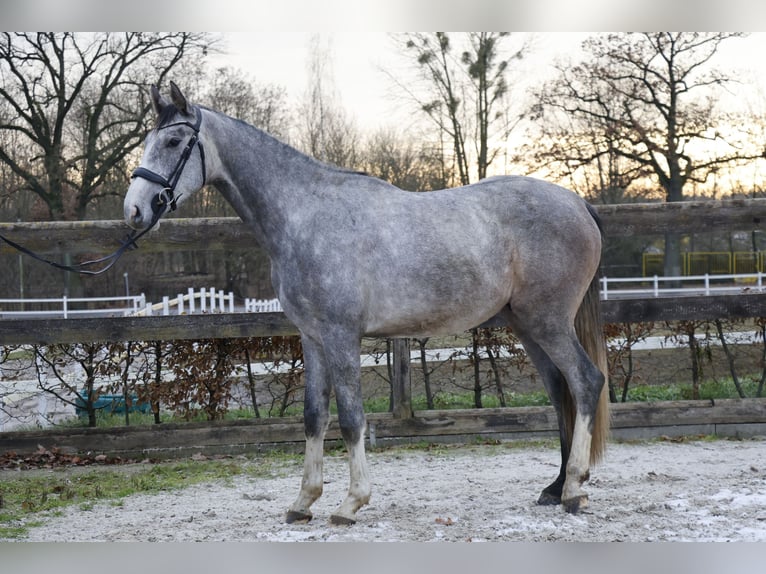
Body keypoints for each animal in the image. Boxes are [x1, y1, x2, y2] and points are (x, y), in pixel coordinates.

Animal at [124, 82, 610, 525]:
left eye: (173, 142)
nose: (134, 210)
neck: (305, 216)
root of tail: (577, 203)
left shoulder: (341, 336)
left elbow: (351, 418)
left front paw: (350, 503)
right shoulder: (312, 338)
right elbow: (313, 416)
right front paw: (303, 501)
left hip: (547, 322)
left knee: (586, 382)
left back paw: (572, 490)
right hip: (527, 325)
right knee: (561, 390)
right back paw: (555, 486)